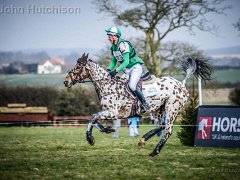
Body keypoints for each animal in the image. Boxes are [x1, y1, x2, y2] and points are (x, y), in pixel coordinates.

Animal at [64, 53, 212, 156]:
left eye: (78, 66)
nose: (66, 81)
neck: (107, 85)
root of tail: (181, 84)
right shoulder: (109, 112)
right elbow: (95, 120)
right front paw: (108, 130)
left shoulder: (113, 112)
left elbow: (93, 117)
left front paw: (90, 138)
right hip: (159, 109)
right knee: (160, 125)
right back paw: (142, 140)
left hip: (172, 109)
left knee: (167, 130)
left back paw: (155, 151)